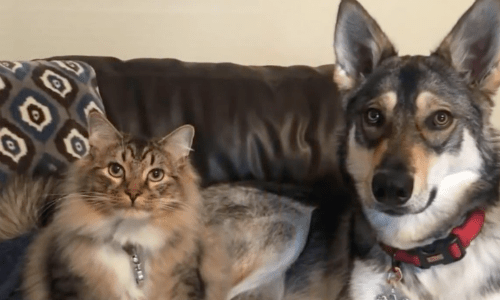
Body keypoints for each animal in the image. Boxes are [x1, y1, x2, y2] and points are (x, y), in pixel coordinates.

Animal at [19, 110, 230, 300]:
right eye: (115, 169)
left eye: (156, 174)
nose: (133, 193)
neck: (131, 242)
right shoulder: (67, 283)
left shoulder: (186, 282)